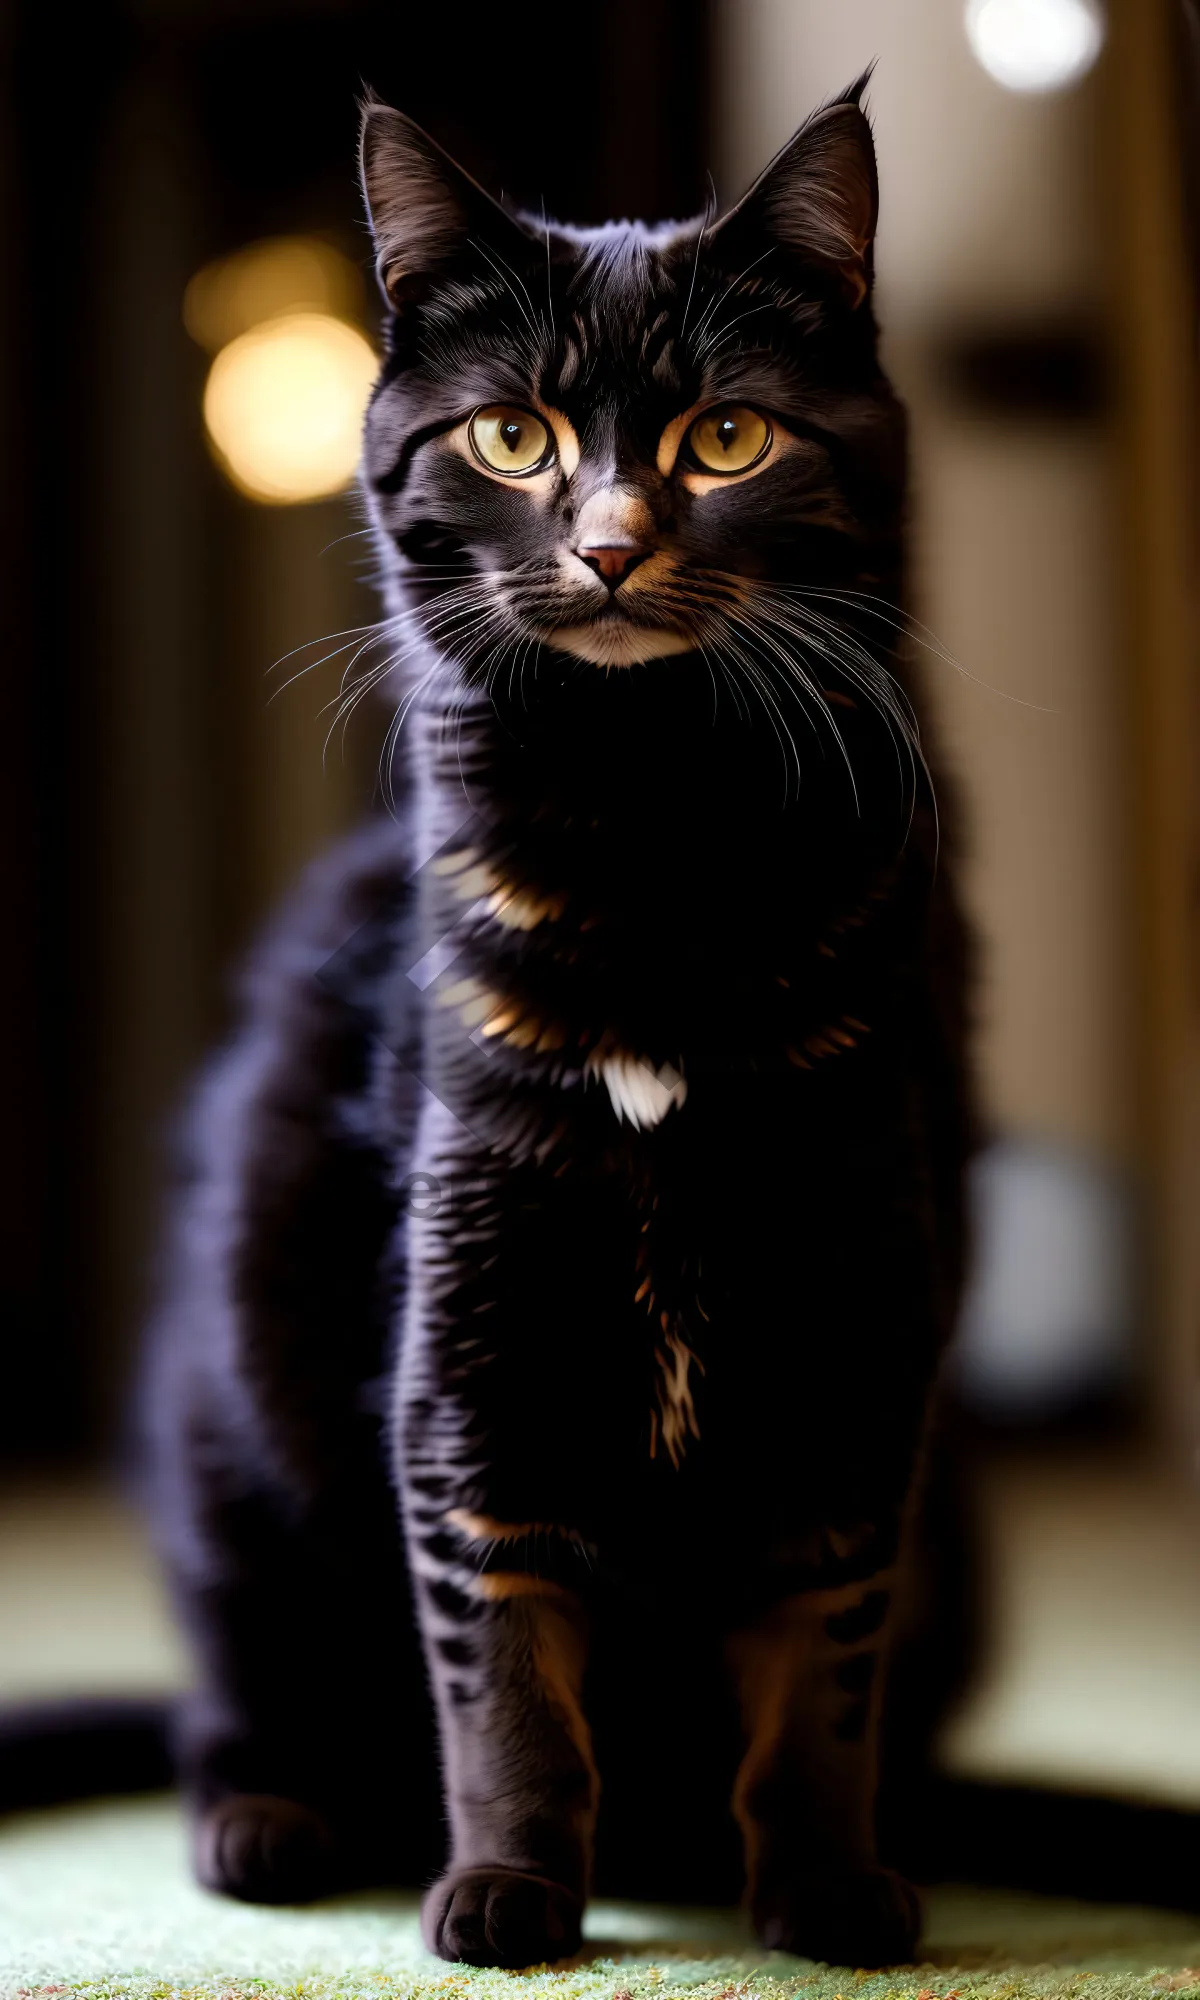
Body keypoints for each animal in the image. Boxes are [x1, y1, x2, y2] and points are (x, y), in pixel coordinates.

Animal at [145, 74, 980, 1968]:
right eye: (512, 439)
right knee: (241, 1686)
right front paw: (513, 1887)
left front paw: (825, 1883)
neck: (651, 825)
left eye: (728, 439)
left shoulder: (854, 1326)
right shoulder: (472, 1344)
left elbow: (823, 1662)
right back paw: (268, 1823)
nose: (607, 547)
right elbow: (505, 1665)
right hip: (233, 1454)